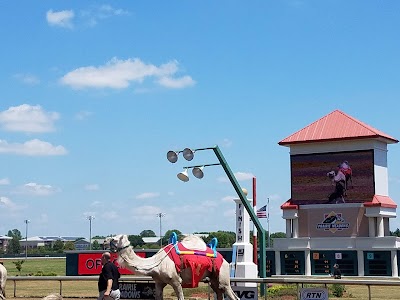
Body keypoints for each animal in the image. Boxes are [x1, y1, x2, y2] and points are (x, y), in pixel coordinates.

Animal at [107, 234, 238, 300]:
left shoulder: (176, 281)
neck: (156, 263)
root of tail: (225, 260)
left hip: (223, 277)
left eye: (114, 238)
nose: (104, 240)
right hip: (214, 280)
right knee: (219, 292)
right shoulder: (159, 282)